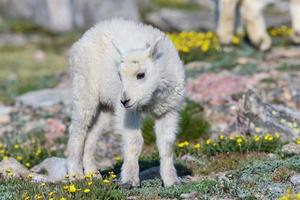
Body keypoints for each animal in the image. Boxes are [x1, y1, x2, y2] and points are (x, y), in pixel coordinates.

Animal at [67, 18, 185, 187]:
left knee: (93, 134)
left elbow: (167, 144)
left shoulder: (168, 110)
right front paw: (129, 180)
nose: (124, 100)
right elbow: (134, 142)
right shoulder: (129, 112)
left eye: (141, 74)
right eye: (120, 76)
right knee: (78, 129)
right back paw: (76, 175)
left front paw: (171, 180)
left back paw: (92, 174)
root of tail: (86, 36)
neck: (152, 97)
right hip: (84, 90)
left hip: (104, 106)